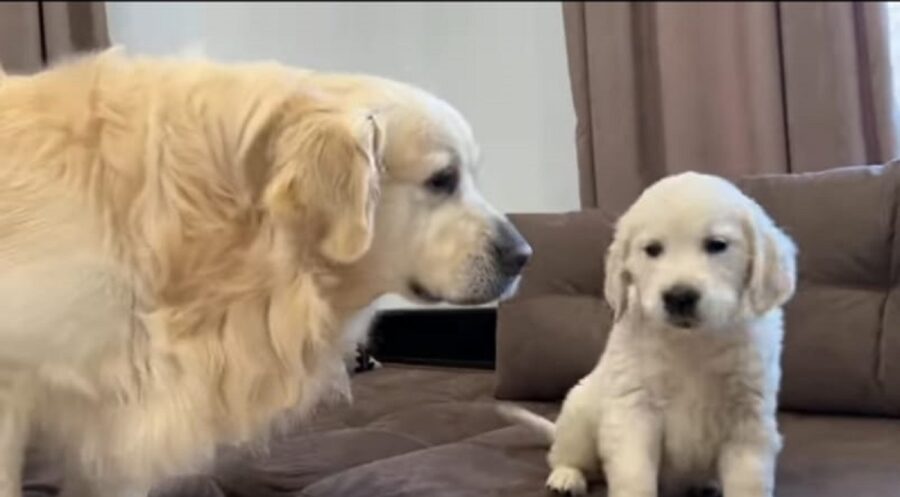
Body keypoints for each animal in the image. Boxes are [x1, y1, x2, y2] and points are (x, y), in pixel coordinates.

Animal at [502, 171, 800, 496]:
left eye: (717, 245)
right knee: (564, 456)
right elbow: (634, 475)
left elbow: (749, 481)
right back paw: (567, 477)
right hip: (578, 414)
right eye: (653, 249)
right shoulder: (634, 409)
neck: (692, 342)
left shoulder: (748, 418)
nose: (679, 297)